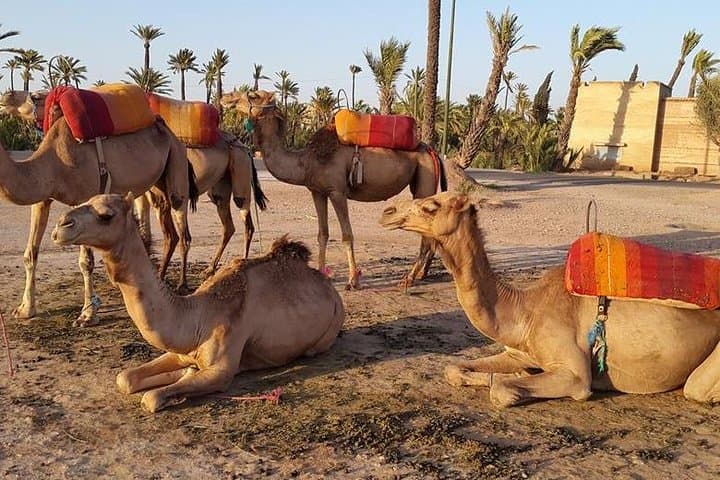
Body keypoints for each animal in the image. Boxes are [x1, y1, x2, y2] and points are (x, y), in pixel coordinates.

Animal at [0, 117, 196, 326]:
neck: (53, 163)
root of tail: (171, 135)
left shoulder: (86, 196)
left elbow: (86, 262)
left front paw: (87, 315)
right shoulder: (42, 199)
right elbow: (30, 254)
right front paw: (25, 309)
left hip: (176, 161)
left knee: (182, 225)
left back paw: (181, 285)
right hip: (156, 183)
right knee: (169, 231)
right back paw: (158, 278)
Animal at [52, 193, 345, 412]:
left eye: (106, 215)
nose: (60, 226)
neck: (198, 314)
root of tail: (329, 285)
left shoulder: (222, 368)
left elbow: (151, 397)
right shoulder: (183, 351)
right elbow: (125, 378)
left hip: (327, 333)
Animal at [221, 90, 447, 290]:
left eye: (253, 95)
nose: (225, 97)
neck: (306, 162)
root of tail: (432, 151)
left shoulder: (337, 191)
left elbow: (346, 235)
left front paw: (353, 281)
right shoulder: (317, 192)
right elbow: (323, 233)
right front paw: (322, 274)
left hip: (424, 179)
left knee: (426, 233)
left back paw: (408, 279)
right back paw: (420, 274)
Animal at [380, 192, 720, 406]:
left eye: (431, 206)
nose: (387, 212)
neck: (525, 311)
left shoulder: (576, 374)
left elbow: (501, 390)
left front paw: (515, 381)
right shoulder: (518, 351)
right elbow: (453, 370)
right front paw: (518, 373)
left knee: (696, 389)